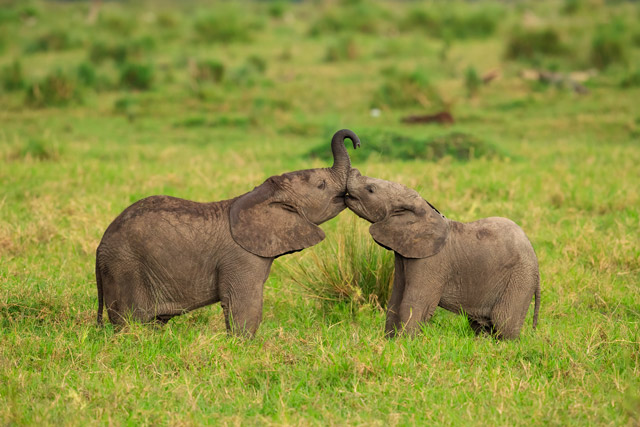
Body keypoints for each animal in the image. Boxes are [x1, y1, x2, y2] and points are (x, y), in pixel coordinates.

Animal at [96, 129, 361, 336]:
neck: (262, 195)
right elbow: (243, 304)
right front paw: (245, 346)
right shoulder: (241, 258)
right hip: (125, 268)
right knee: (132, 322)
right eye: (321, 185)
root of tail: (100, 248)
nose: (356, 142)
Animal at [345, 170, 540, 339]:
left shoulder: (431, 262)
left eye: (370, 189)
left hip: (519, 279)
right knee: (482, 325)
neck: (424, 210)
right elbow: (395, 300)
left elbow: (414, 303)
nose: (354, 170)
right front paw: (389, 342)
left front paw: (404, 345)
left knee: (504, 324)